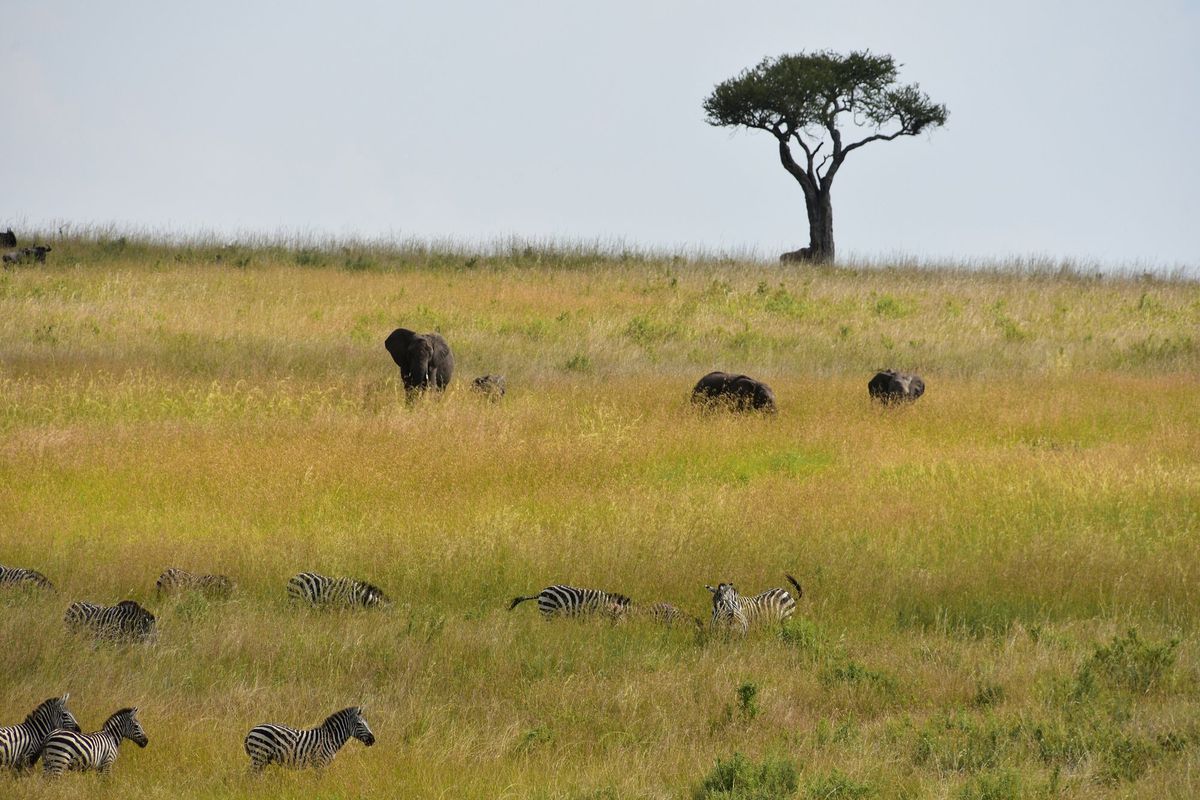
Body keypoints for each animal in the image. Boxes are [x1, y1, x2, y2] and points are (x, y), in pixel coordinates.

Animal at [244, 706, 375, 772]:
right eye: (359, 724)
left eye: (367, 723)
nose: (373, 740)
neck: (330, 739)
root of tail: (252, 730)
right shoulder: (320, 763)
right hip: (259, 755)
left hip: (263, 758)